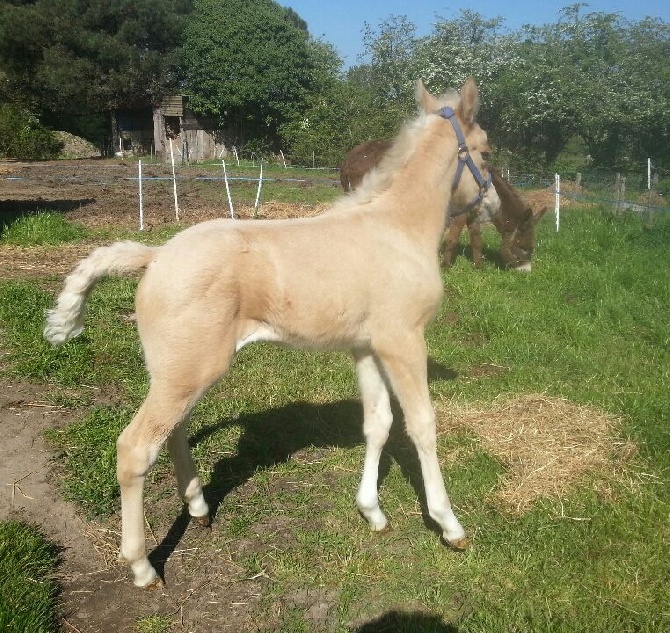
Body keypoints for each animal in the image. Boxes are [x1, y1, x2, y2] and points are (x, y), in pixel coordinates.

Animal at [44, 78, 502, 588]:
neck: (395, 228)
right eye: (485, 153)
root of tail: (156, 255)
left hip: (180, 372)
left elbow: (378, 423)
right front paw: (450, 525)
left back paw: (199, 507)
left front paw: (373, 512)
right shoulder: (403, 341)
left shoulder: (366, 347)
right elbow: (421, 425)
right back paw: (143, 567)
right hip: (188, 372)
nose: (493, 205)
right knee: (135, 448)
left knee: (175, 430)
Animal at [342, 141, 544, 270]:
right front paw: (445, 266)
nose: (526, 272)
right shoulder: (461, 212)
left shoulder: (473, 213)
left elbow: (476, 239)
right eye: (526, 248)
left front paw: (478, 266)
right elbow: (453, 238)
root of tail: (350, 157)